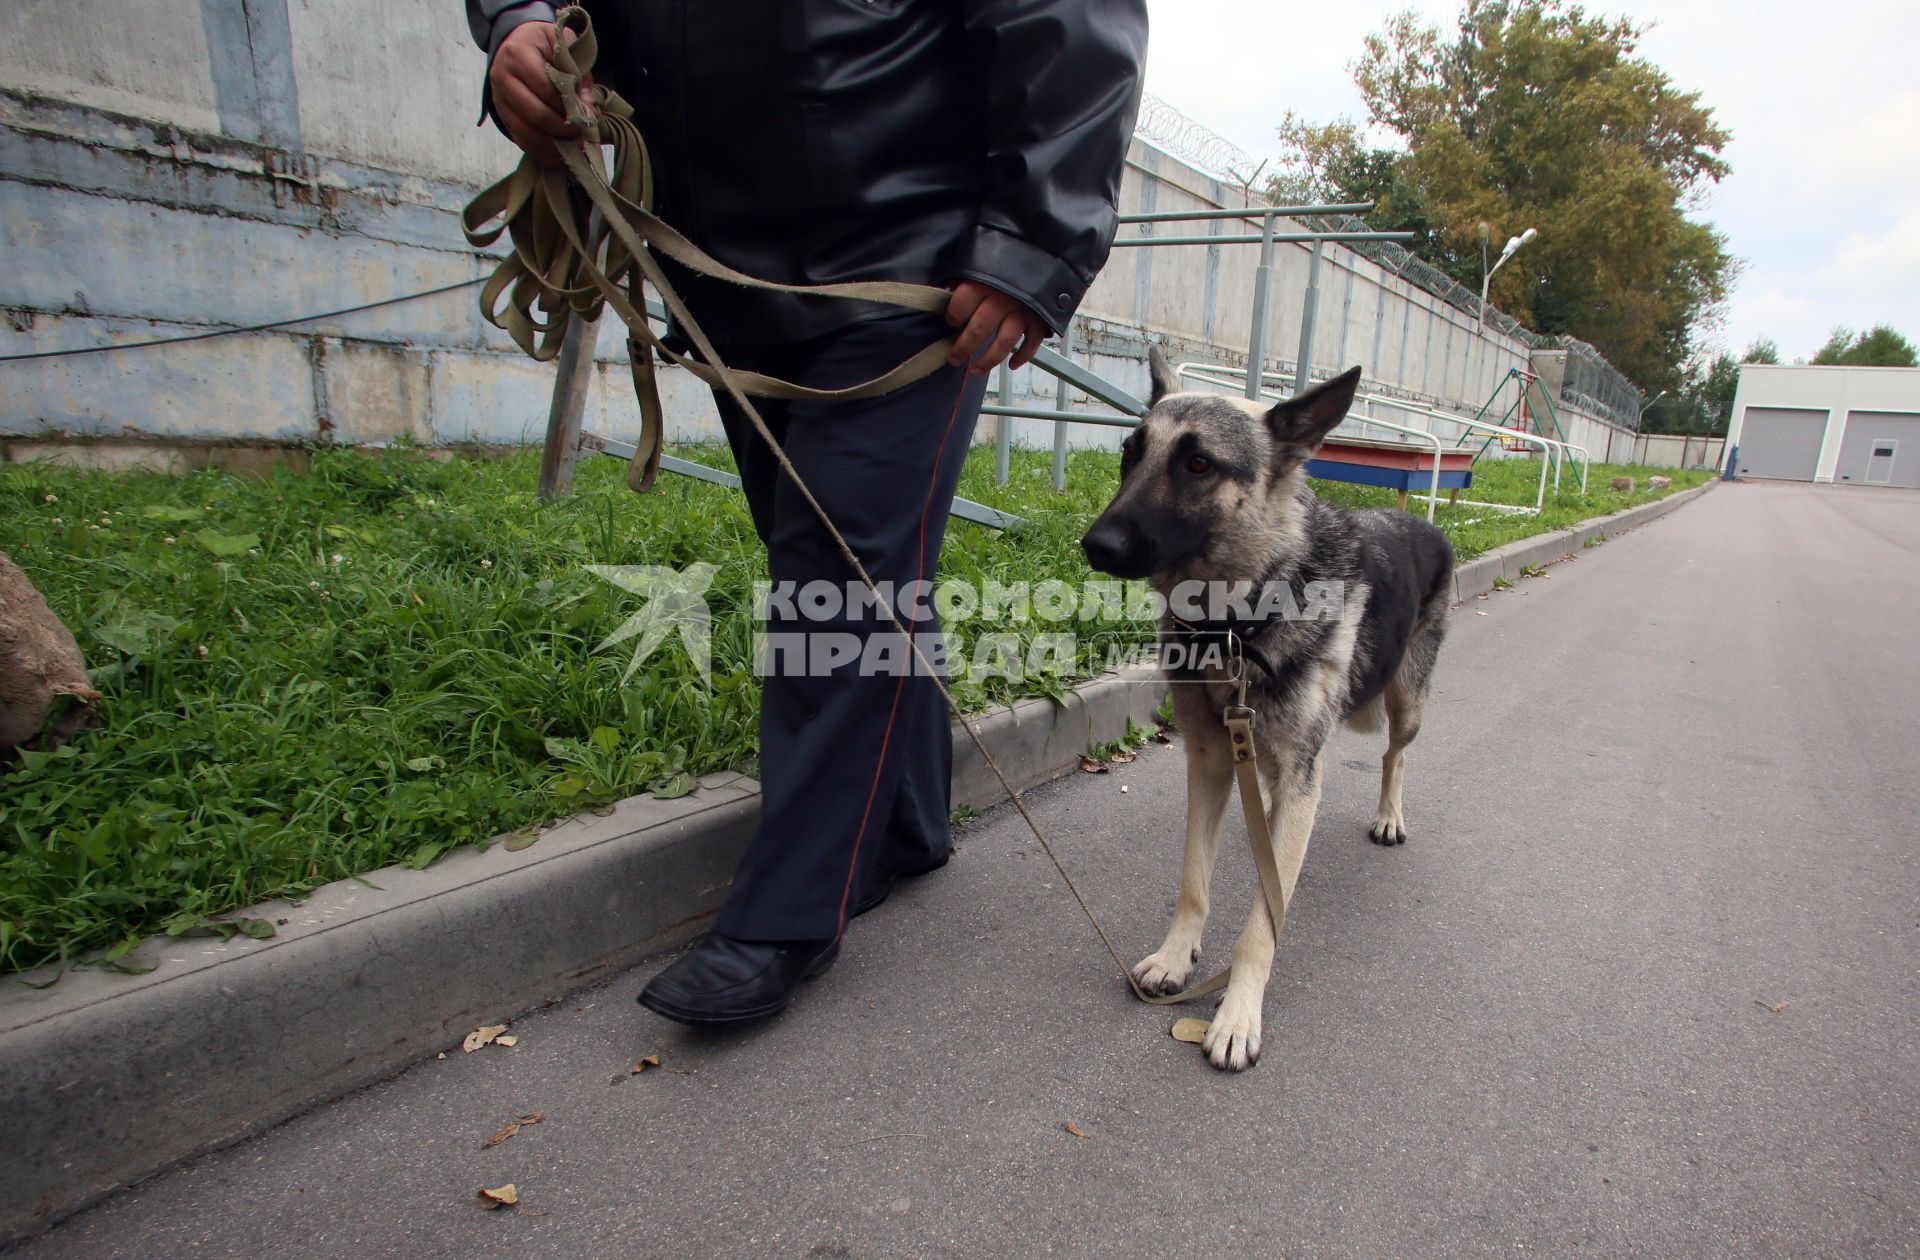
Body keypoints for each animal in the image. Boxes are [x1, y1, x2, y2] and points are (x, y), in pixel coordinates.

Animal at [1082, 347, 1451, 1075]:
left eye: (1199, 464)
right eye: (1130, 453)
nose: (1095, 545)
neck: (1237, 619)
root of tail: (1424, 523)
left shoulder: (1296, 782)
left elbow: (1262, 923)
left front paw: (1235, 1015)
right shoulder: (1210, 763)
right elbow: (1193, 881)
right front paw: (1178, 958)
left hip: (1406, 707)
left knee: (1396, 756)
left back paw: (1389, 816)